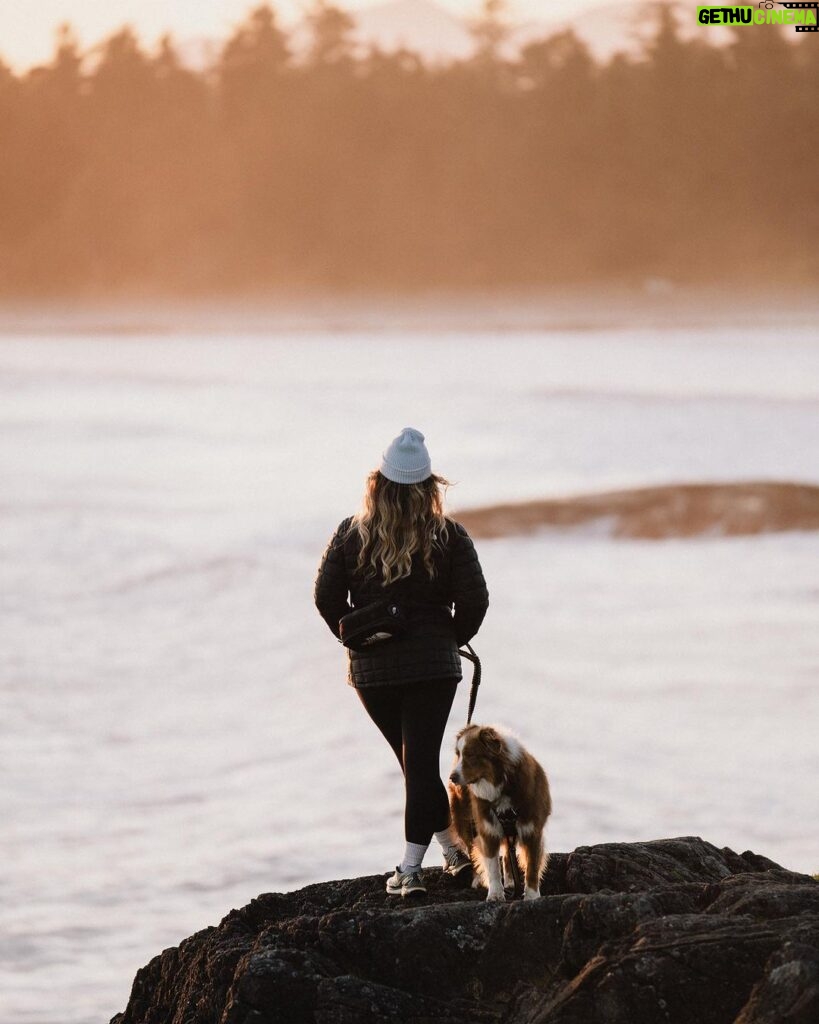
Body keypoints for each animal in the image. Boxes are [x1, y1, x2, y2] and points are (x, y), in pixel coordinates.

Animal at [448, 724, 548, 901]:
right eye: (458, 754)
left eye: (470, 755)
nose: (452, 777)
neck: (502, 784)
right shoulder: (488, 828)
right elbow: (492, 866)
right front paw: (495, 895)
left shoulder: (533, 830)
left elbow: (532, 867)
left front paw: (532, 896)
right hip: (464, 820)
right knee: (472, 847)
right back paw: (478, 879)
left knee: (508, 853)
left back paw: (510, 882)